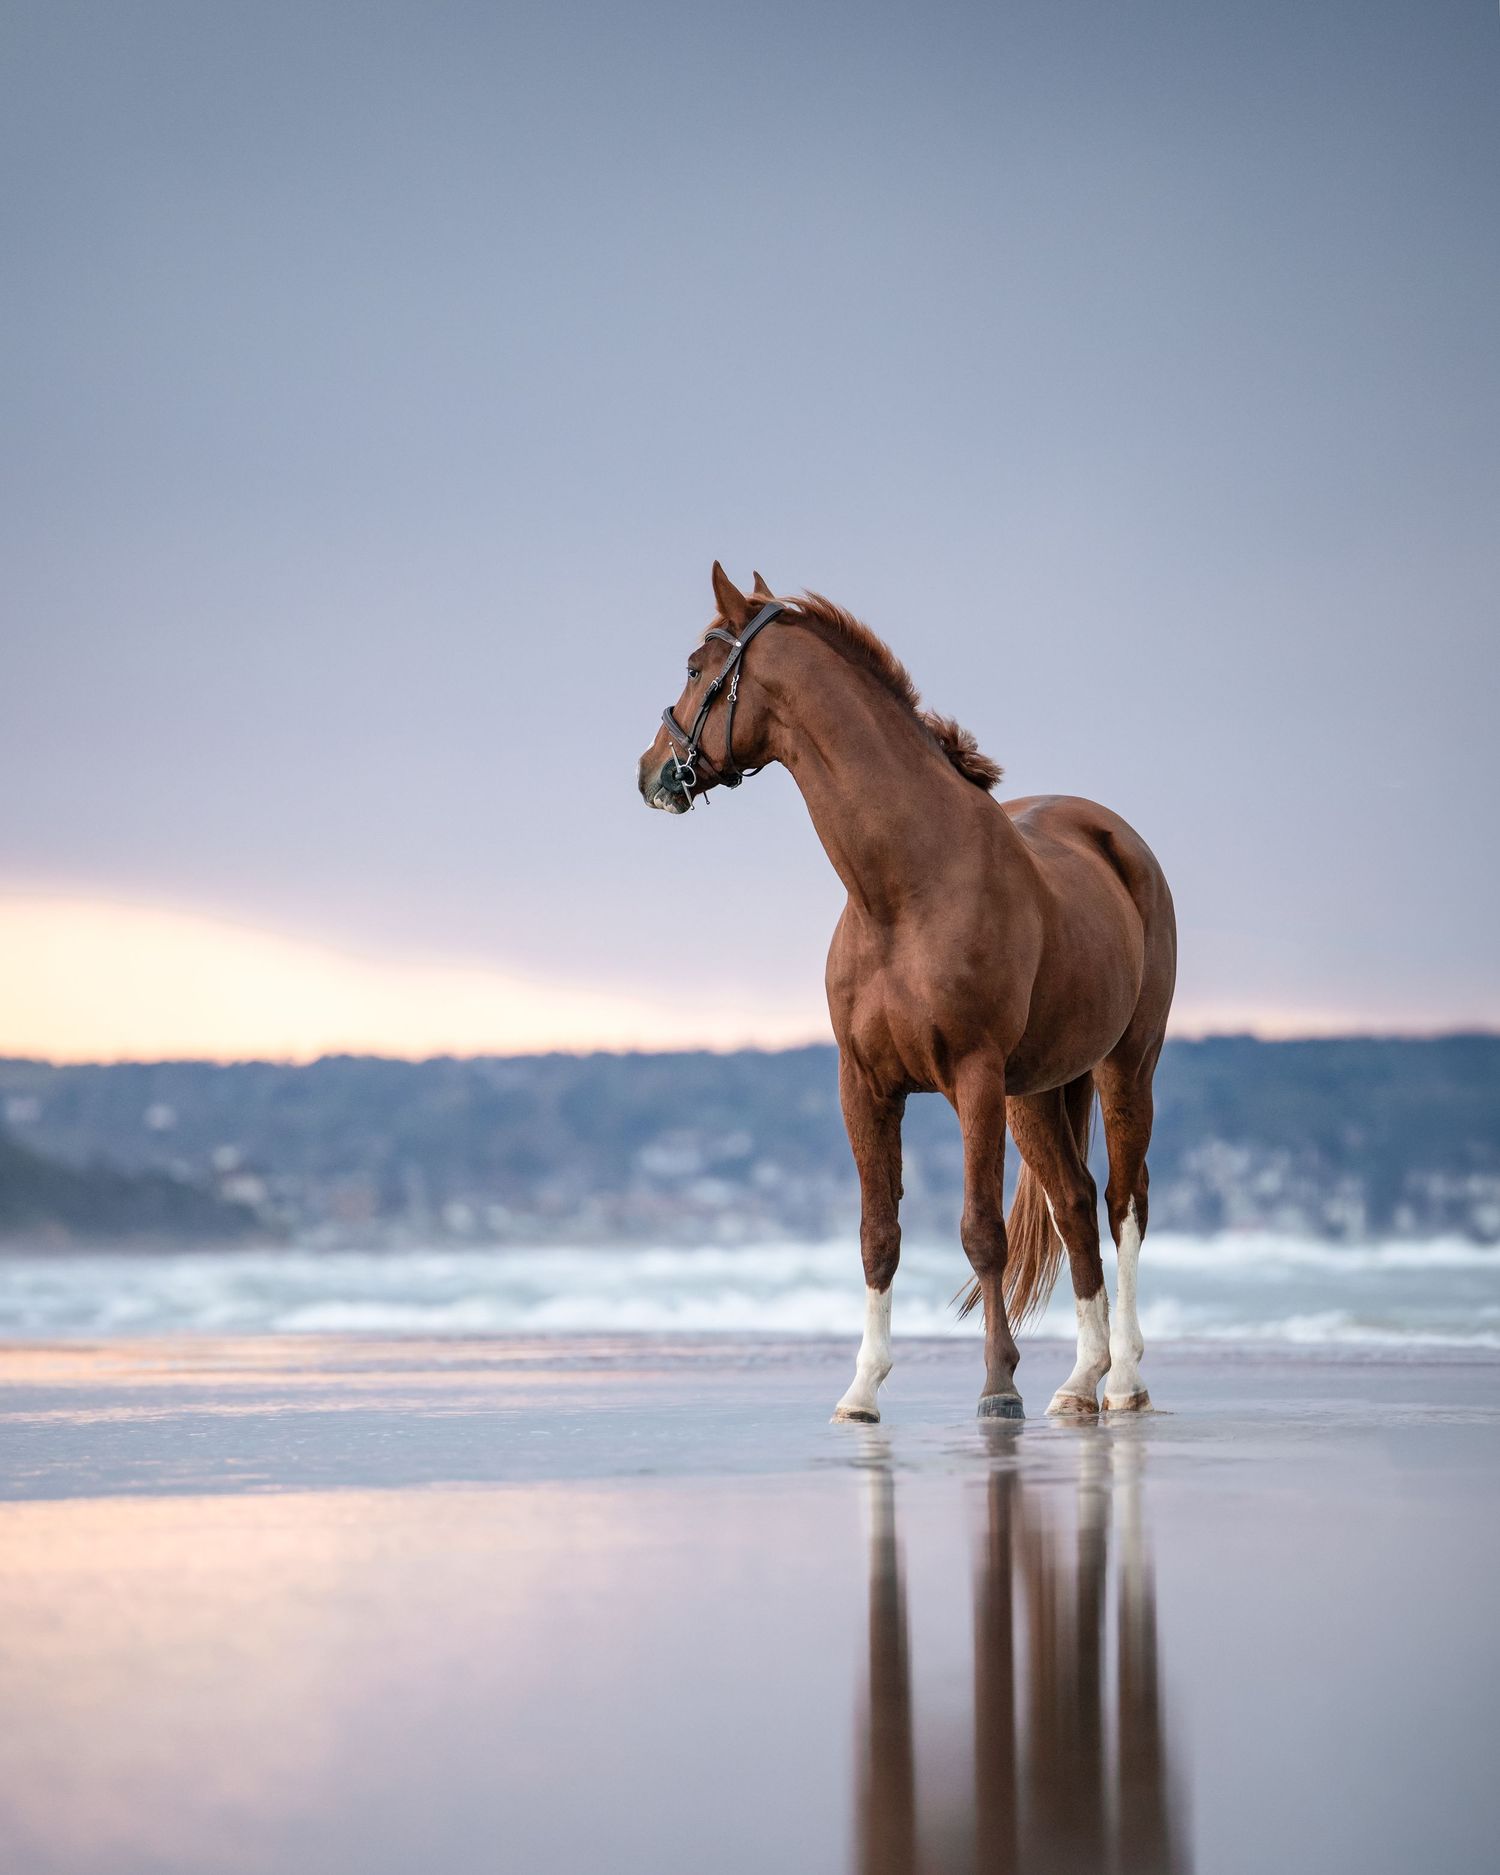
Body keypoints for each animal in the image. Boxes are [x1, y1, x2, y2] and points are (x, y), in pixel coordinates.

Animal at [637, 563, 1177, 1422]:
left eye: (695, 669)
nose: (652, 771)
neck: (904, 888)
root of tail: (1119, 842)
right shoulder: (864, 1085)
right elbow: (877, 1233)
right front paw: (861, 1388)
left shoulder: (974, 1078)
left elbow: (981, 1230)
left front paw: (997, 1386)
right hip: (1039, 1092)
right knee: (1074, 1202)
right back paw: (1078, 1380)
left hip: (1126, 1066)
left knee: (1126, 1203)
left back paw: (1122, 1376)